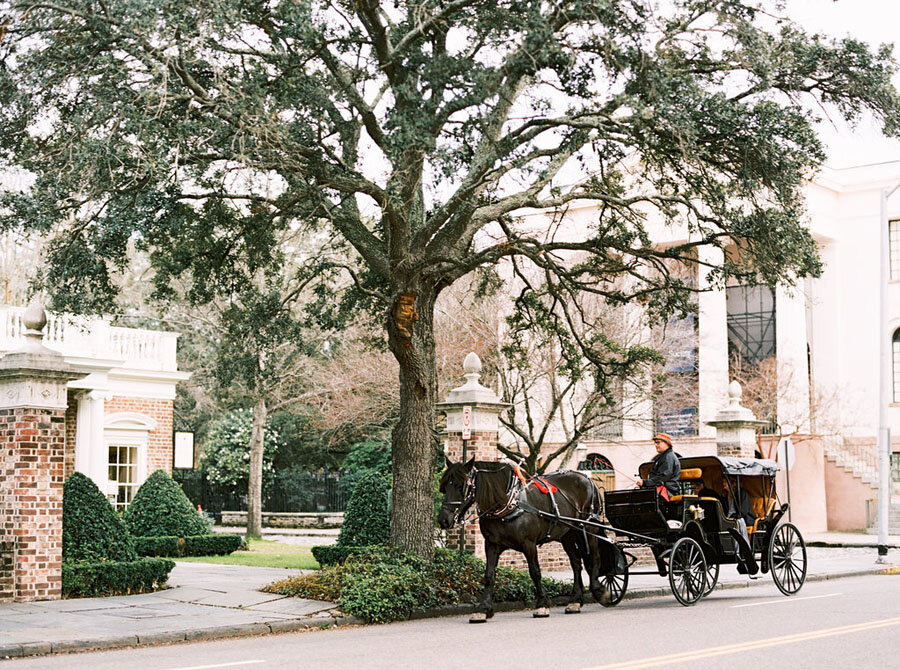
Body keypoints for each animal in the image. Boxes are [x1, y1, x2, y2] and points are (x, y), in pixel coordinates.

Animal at [436, 460, 612, 624]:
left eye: (461, 486)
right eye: (444, 487)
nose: (443, 520)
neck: (508, 502)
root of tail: (588, 478)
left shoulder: (529, 544)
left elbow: (535, 572)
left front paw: (542, 605)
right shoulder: (491, 545)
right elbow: (489, 575)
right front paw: (483, 609)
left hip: (588, 527)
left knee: (594, 557)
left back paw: (599, 591)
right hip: (567, 534)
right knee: (576, 562)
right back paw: (575, 600)